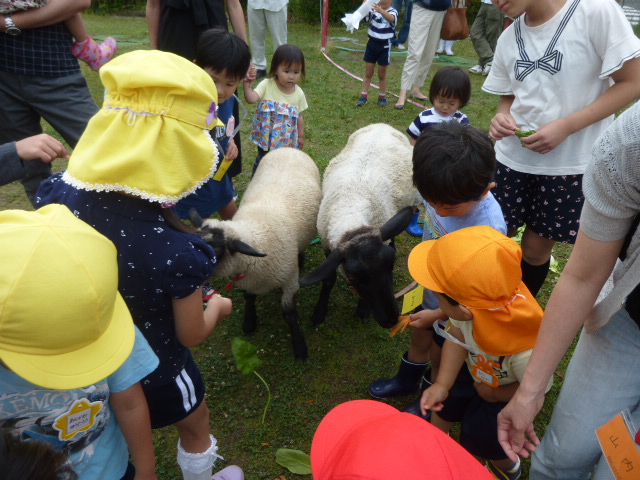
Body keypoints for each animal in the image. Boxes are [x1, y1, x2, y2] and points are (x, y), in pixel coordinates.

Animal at [190, 148, 320, 362]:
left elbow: (289, 315)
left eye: (216, 250)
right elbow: (249, 299)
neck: (257, 234)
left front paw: (300, 346)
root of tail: (288, 148)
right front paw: (249, 322)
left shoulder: (290, 281)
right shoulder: (248, 280)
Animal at [300, 122, 420, 328]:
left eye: (391, 264)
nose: (390, 320)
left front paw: (363, 310)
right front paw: (319, 313)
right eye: (353, 277)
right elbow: (328, 279)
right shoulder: (328, 244)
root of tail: (381, 124)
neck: (353, 215)